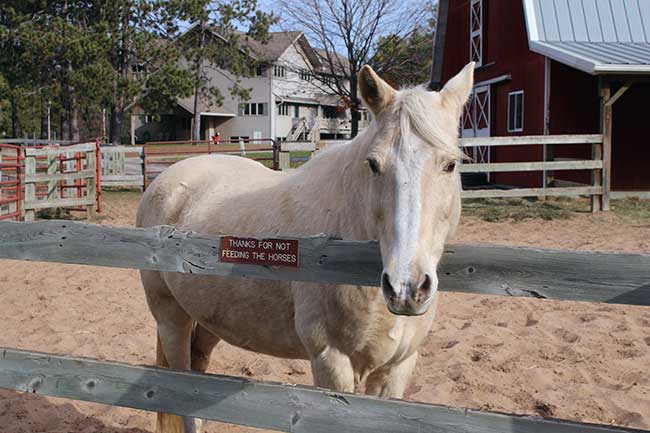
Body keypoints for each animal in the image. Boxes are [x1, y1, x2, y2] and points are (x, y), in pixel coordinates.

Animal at [136, 62, 474, 433]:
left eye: (451, 164)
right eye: (373, 165)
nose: (406, 288)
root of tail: (166, 179)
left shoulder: (396, 370)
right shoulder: (332, 365)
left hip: (210, 319)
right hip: (171, 318)